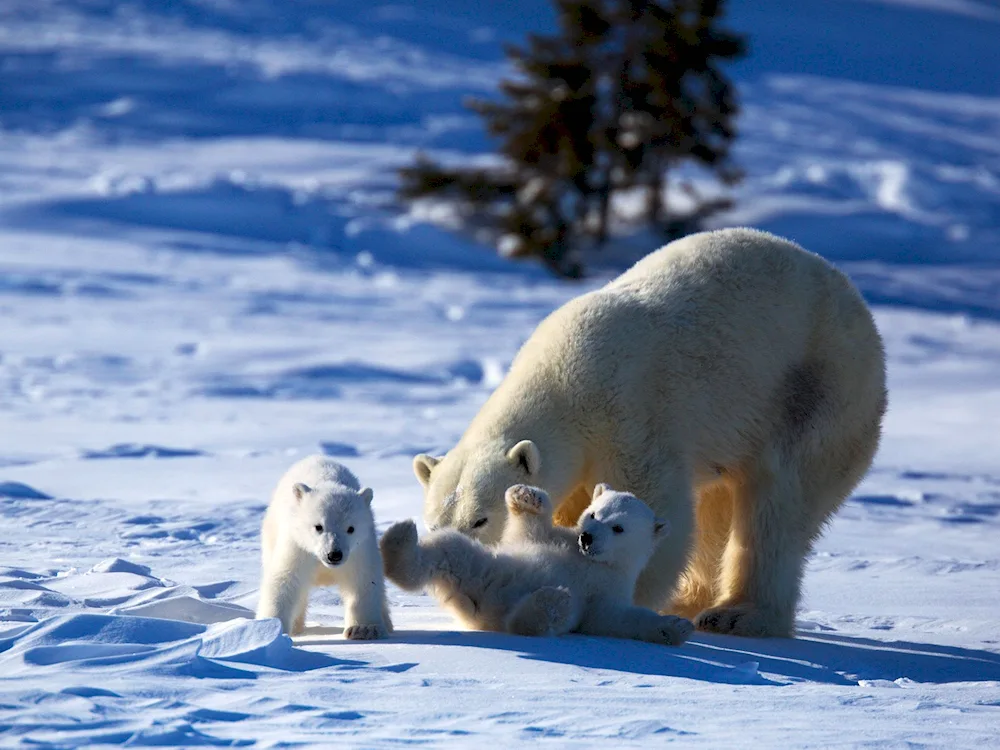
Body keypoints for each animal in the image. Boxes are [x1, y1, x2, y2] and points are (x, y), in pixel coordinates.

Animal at [410, 226, 888, 636]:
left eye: (480, 518)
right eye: (434, 522)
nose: (453, 543)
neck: (564, 378)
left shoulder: (628, 414)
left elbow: (652, 505)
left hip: (816, 394)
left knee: (777, 507)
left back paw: (740, 615)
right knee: (717, 506)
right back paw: (691, 600)